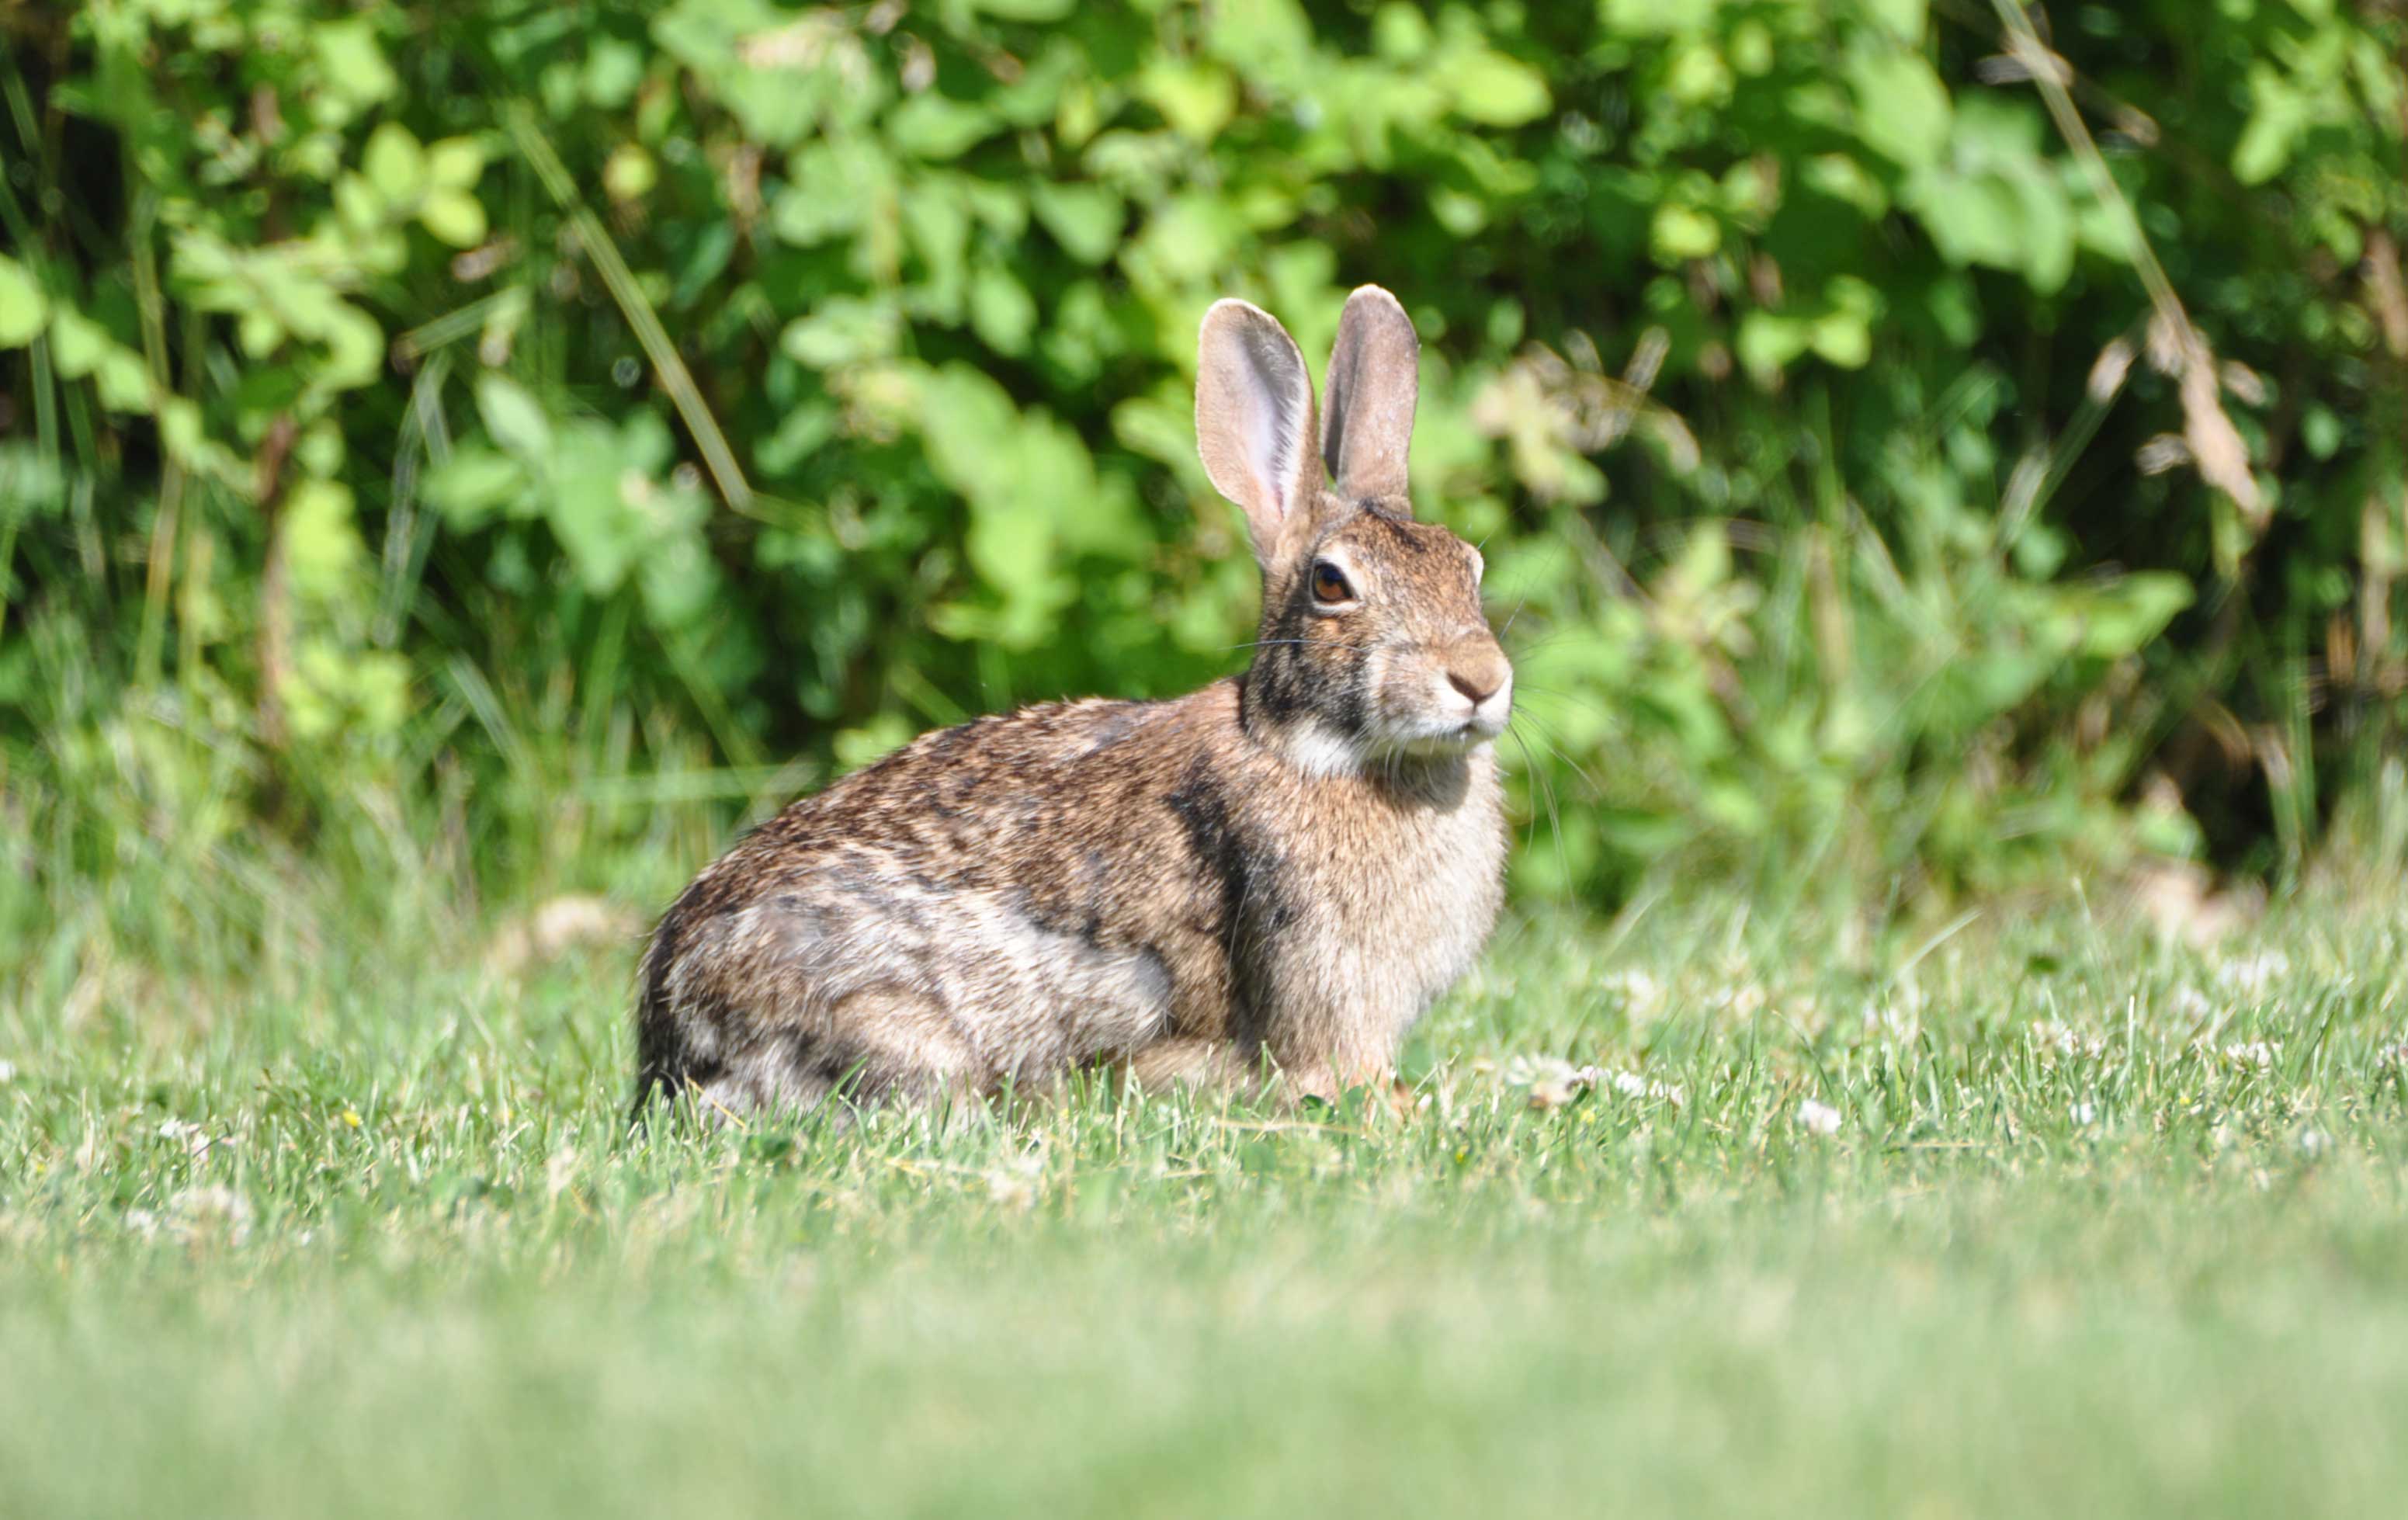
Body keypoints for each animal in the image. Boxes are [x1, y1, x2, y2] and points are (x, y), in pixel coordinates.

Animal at [630, 287, 1512, 1117]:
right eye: (1331, 584)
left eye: (1469, 566)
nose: (1481, 679)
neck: (1308, 749)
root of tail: (669, 1028)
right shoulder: (1323, 1000)